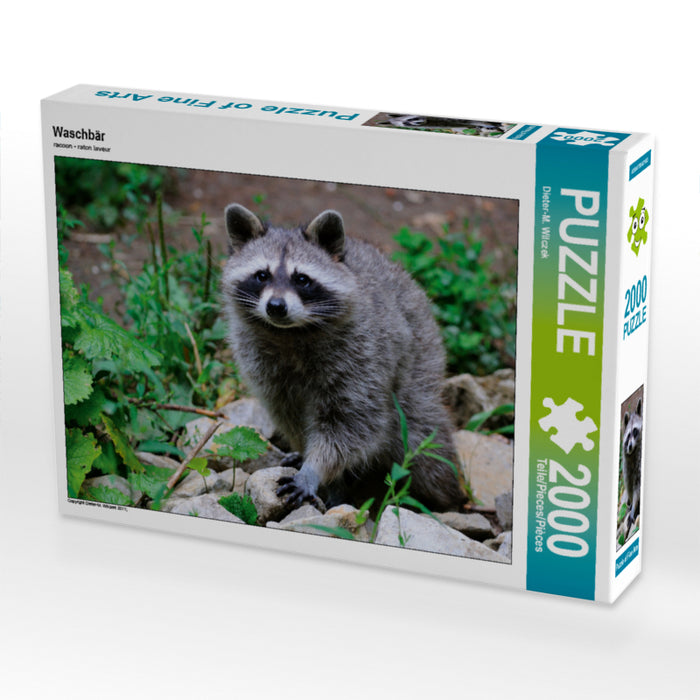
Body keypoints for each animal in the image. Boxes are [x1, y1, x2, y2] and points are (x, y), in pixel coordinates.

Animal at [221, 203, 466, 512]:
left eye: (302, 279)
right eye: (261, 275)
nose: (276, 306)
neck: (289, 333)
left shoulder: (363, 354)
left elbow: (353, 423)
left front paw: (315, 469)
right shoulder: (264, 364)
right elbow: (289, 413)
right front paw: (308, 455)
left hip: (420, 361)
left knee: (426, 446)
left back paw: (448, 499)